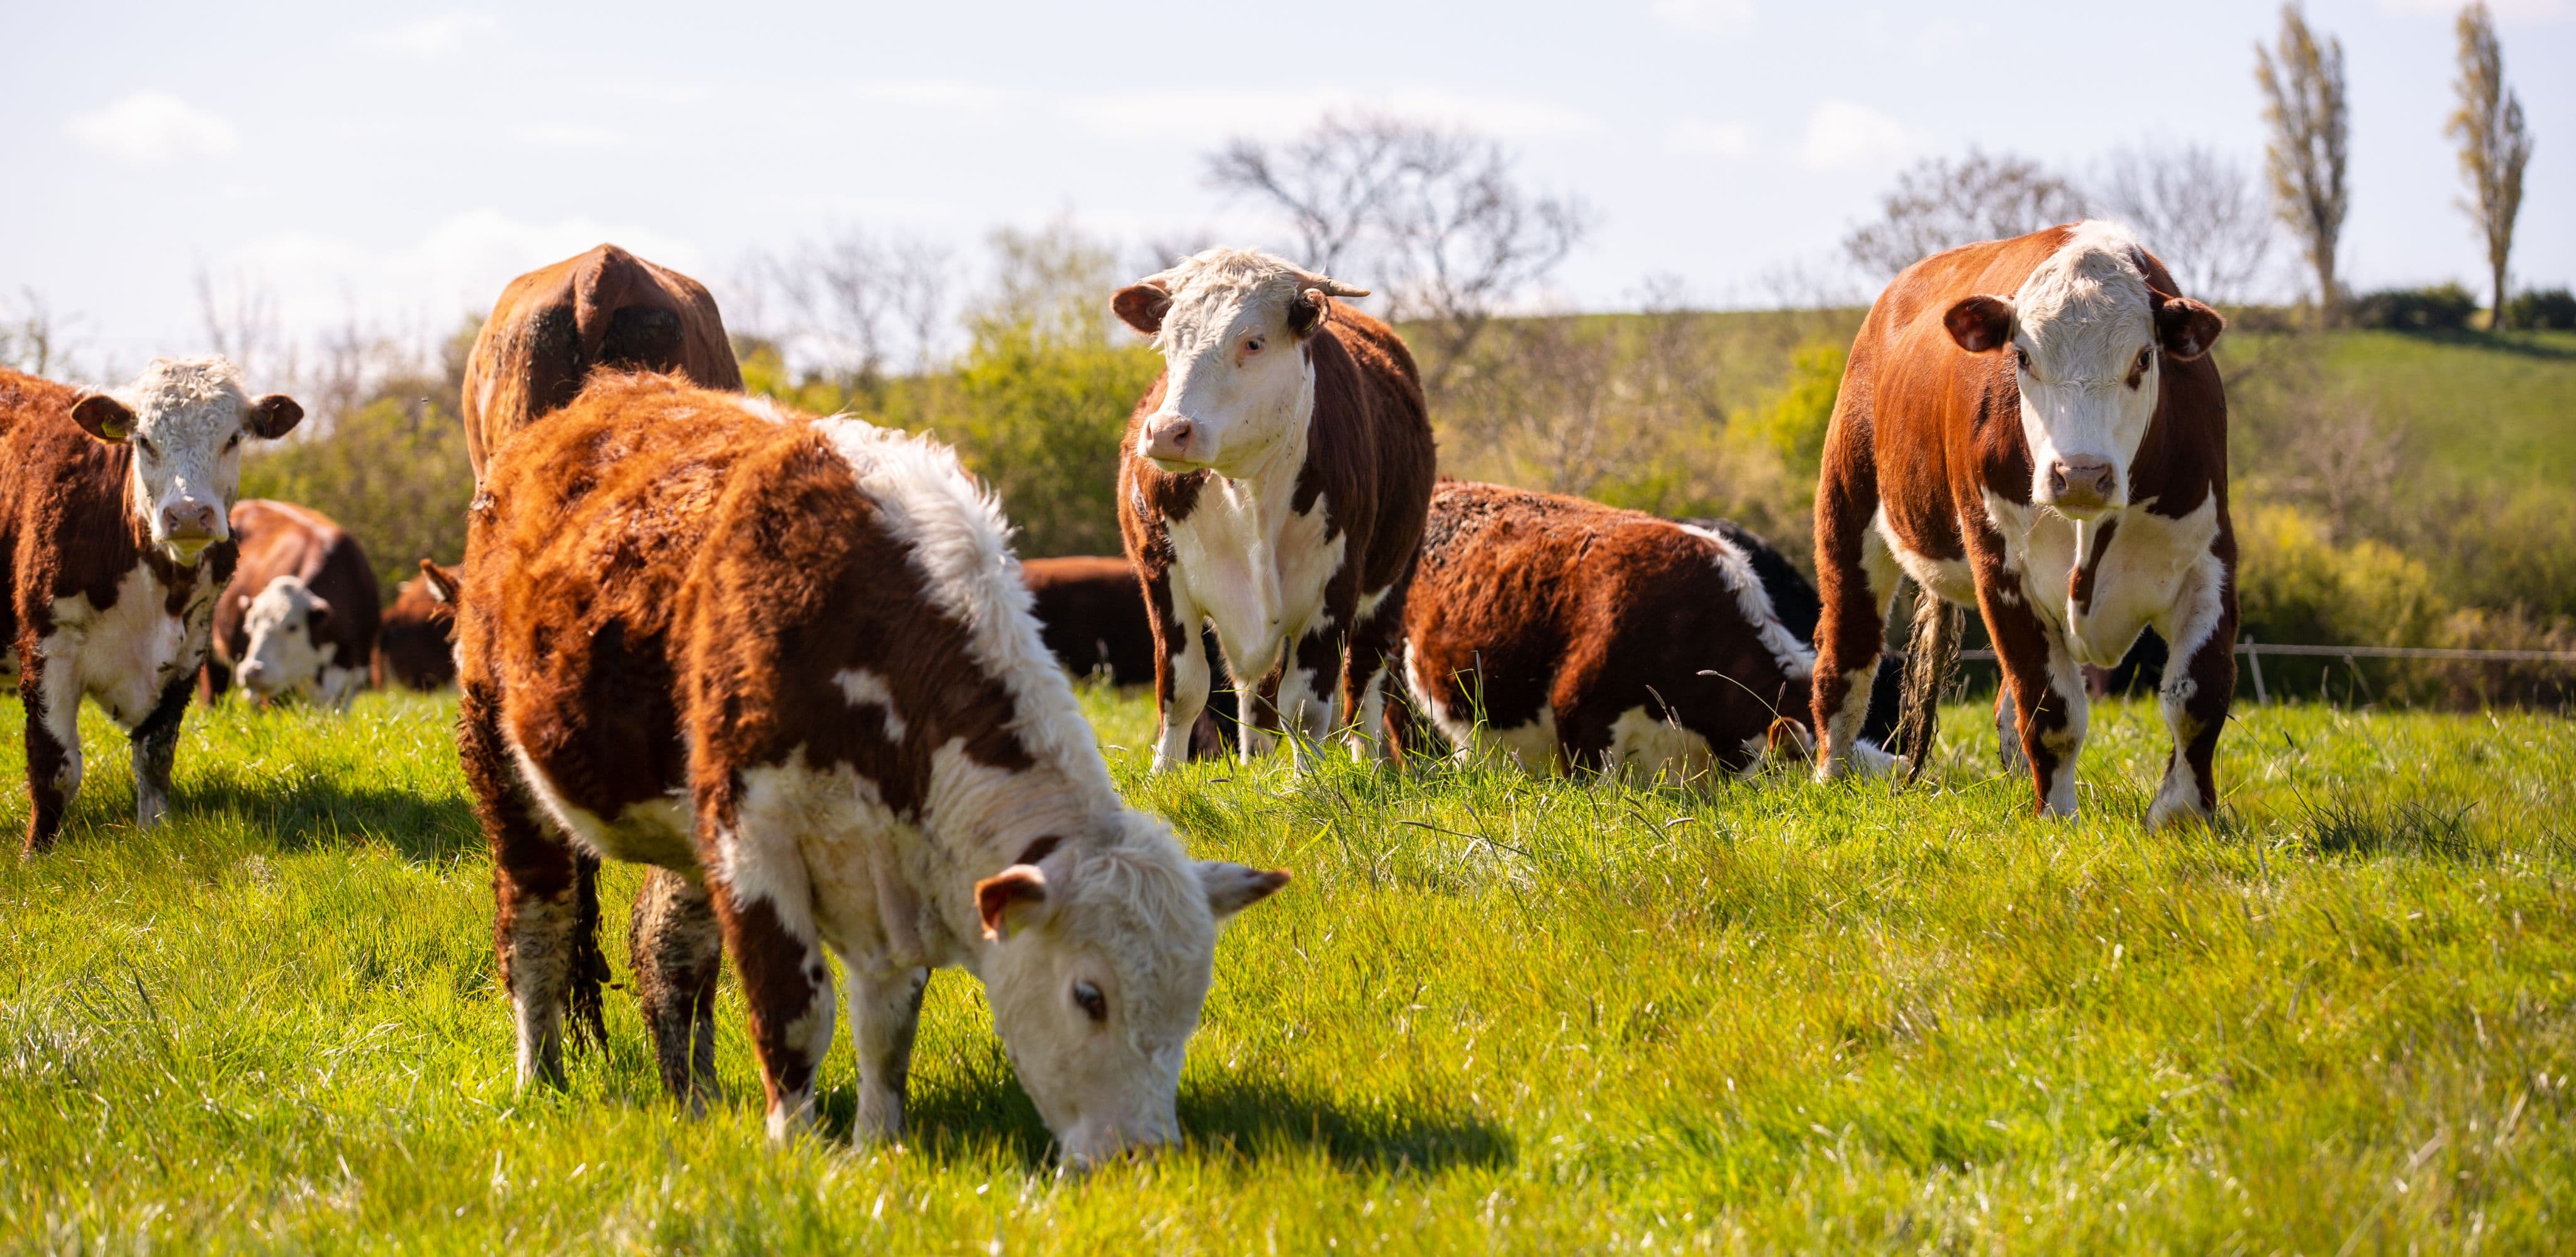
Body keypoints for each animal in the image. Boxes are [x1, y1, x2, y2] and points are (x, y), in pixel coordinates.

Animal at [1, 359, 303, 854]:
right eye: (144, 440)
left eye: (233, 438)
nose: (188, 514)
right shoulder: (48, 647)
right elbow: (55, 769)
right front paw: (36, 854)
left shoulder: (187, 652)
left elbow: (155, 758)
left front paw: (154, 837)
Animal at [452, 372, 1286, 1165]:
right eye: (1089, 995)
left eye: (1192, 1000)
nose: (1142, 1152)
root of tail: (607, 392)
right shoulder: (753, 840)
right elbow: (793, 1010)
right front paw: (796, 1148)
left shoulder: (895, 866)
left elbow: (888, 1026)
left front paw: (879, 1143)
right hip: (498, 756)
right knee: (537, 924)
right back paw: (539, 1079)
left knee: (672, 948)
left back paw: (696, 1097)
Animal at [1113, 248, 1436, 771]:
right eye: (1170, 339)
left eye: (1253, 342)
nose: (1166, 432)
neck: (1248, 492)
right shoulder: (1161, 574)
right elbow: (1182, 691)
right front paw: (1164, 775)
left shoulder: (1335, 588)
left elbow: (1306, 709)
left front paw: (1311, 784)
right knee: (1255, 695)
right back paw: (1254, 767)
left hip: (1390, 584)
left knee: (1363, 686)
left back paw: (1369, 765)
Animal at [1811, 220, 2234, 827]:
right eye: (2025, 358)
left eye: (2143, 359)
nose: (2081, 474)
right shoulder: (2003, 573)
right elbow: (2052, 711)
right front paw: (2057, 819)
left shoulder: (2209, 561)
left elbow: (2197, 697)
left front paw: (2184, 818)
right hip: (1848, 511)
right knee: (1848, 650)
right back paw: (1833, 774)